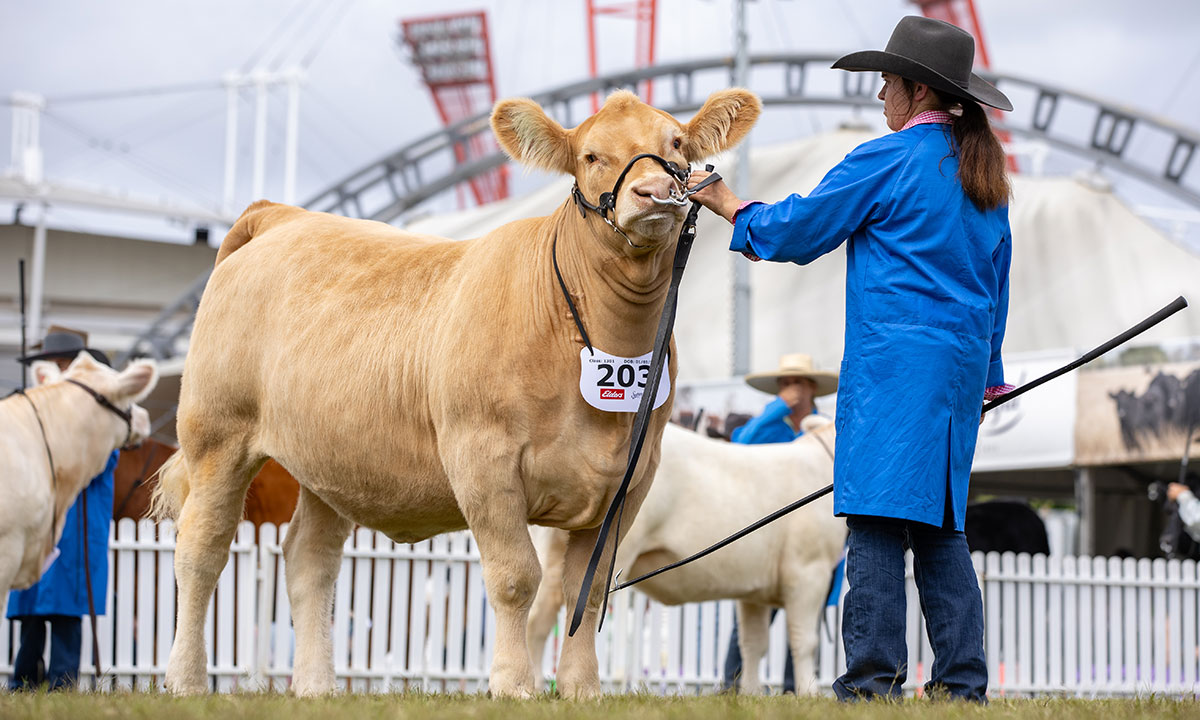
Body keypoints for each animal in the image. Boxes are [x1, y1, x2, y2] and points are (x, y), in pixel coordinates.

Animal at [149, 88, 761, 698]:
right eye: (591, 156)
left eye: (676, 145)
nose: (654, 192)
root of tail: (282, 216)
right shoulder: (482, 459)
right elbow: (517, 578)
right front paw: (513, 686)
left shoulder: (633, 477)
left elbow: (586, 589)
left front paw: (582, 690)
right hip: (216, 436)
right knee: (200, 550)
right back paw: (186, 680)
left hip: (328, 463)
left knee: (308, 561)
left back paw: (317, 687)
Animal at [528, 418, 845, 695]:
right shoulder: (808, 572)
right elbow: (805, 642)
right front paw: (809, 694)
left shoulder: (754, 591)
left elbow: (753, 644)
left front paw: (752, 694)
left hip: (555, 552)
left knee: (540, 618)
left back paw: (536, 687)